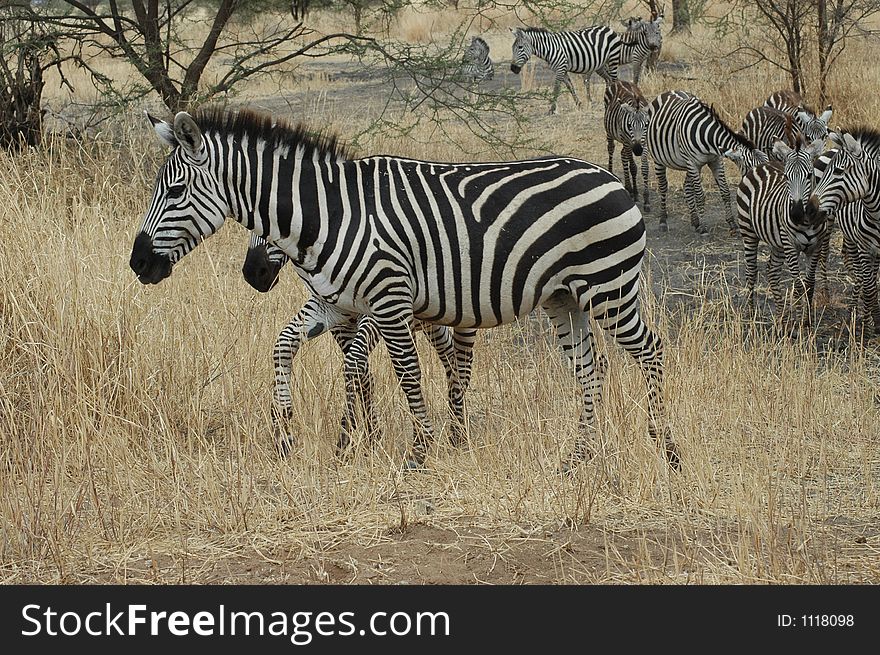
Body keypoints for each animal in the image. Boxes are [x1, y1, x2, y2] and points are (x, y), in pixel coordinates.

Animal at [241, 233, 478, 454]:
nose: (254, 274)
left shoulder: (379, 307)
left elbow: (356, 363)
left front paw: (348, 438)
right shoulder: (337, 318)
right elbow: (359, 372)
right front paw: (372, 438)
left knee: (462, 366)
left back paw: (459, 436)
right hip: (431, 320)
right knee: (449, 357)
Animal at [600, 78, 648, 213]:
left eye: (646, 125)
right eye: (630, 125)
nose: (637, 150)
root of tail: (619, 80)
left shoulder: (645, 143)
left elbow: (644, 168)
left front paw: (646, 199)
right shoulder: (628, 142)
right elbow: (633, 167)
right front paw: (635, 192)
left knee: (623, 154)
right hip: (610, 132)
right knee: (611, 149)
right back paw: (612, 174)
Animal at [648, 91, 768, 234]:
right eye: (752, 169)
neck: (709, 139)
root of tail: (669, 91)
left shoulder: (716, 161)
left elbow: (725, 192)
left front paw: (732, 223)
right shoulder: (692, 163)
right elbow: (700, 195)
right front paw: (704, 227)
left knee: (687, 187)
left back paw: (695, 221)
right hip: (659, 159)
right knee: (663, 186)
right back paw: (663, 221)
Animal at [740, 136, 828, 316]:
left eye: (809, 175)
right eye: (787, 177)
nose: (796, 214)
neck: (807, 223)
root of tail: (760, 165)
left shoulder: (815, 247)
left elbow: (809, 284)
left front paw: (807, 320)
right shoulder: (791, 245)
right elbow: (799, 286)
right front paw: (800, 320)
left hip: (778, 243)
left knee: (772, 272)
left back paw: (781, 316)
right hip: (749, 232)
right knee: (751, 272)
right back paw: (751, 314)